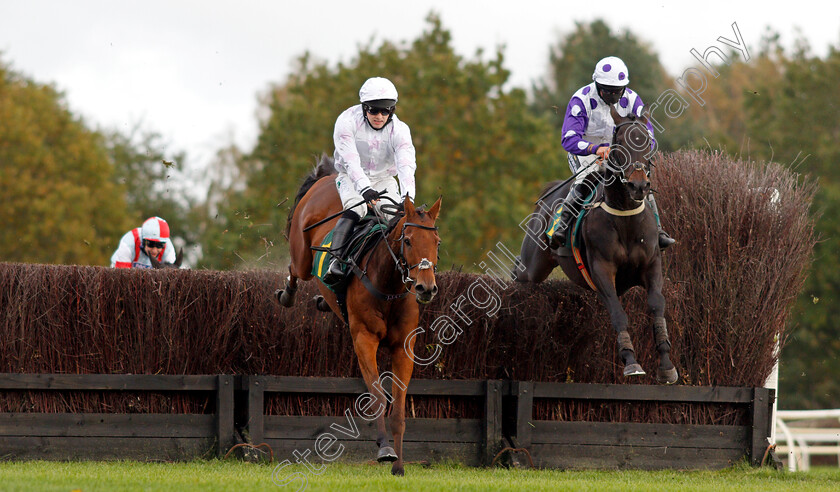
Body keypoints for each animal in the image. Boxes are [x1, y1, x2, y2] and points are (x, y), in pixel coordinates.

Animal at [278, 156, 442, 474]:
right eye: (408, 240)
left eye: (437, 242)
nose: (425, 287)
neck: (388, 287)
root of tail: (327, 176)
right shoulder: (364, 338)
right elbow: (377, 396)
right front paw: (385, 450)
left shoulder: (404, 346)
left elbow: (399, 406)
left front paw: (399, 465)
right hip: (302, 252)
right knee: (295, 268)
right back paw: (288, 294)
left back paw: (323, 301)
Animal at [516, 107, 680, 384]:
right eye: (620, 143)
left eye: (647, 142)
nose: (639, 186)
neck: (624, 218)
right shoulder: (602, 270)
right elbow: (617, 313)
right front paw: (631, 362)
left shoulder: (651, 265)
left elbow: (657, 306)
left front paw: (666, 365)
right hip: (532, 266)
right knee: (519, 274)